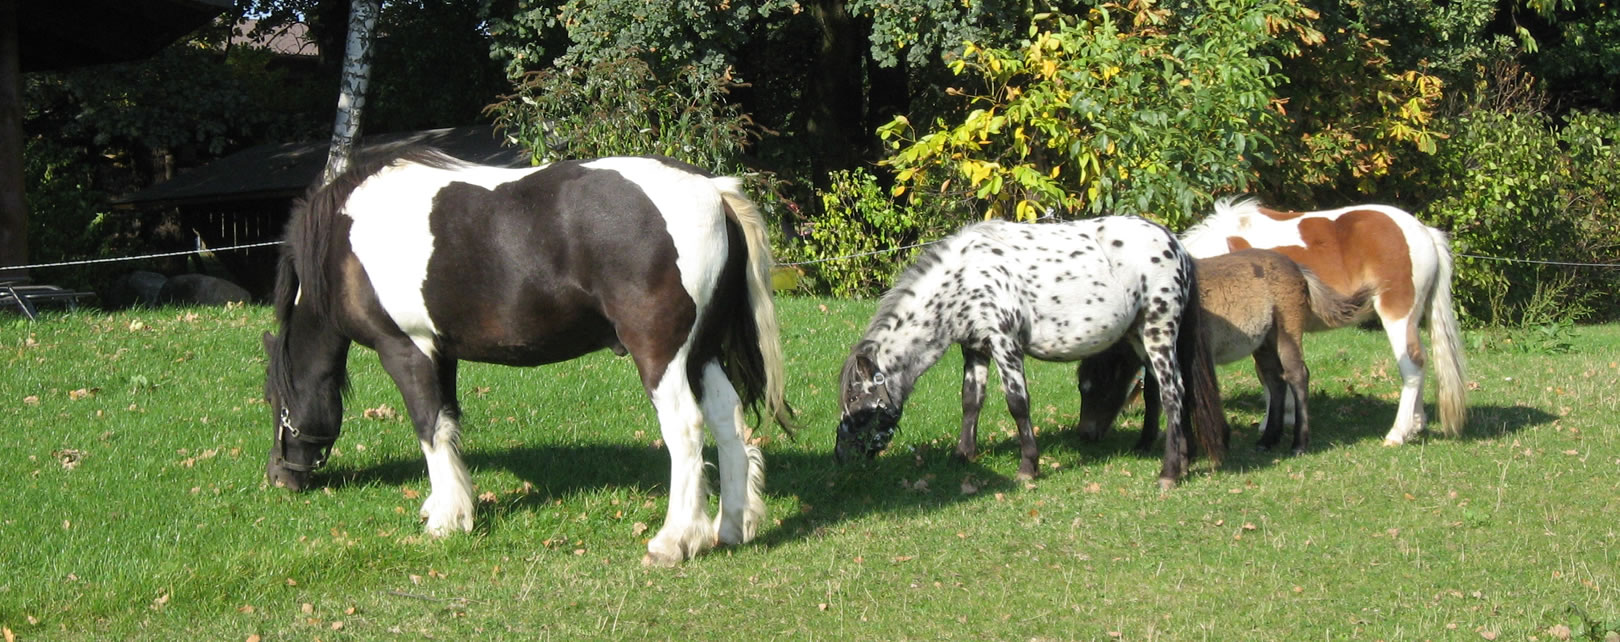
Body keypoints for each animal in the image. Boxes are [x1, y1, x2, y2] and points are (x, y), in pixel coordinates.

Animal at [262, 148, 793, 564]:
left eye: (273, 400)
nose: (279, 477)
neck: (345, 240)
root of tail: (713, 190)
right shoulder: (442, 354)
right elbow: (448, 424)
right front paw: (446, 505)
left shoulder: (406, 349)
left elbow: (429, 428)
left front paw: (445, 521)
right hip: (701, 354)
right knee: (727, 421)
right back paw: (732, 526)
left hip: (662, 356)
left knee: (685, 429)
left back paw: (675, 541)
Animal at [835, 215, 1224, 486]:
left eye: (856, 401)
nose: (841, 454)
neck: (963, 278)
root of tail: (1175, 245)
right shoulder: (975, 349)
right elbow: (971, 400)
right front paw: (963, 456)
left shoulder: (1005, 344)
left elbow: (1017, 404)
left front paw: (1028, 467)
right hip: (1137, 336)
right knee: (1157, 390)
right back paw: (1164, 453)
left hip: (1159, 332)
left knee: (1174, 392)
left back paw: (1170, 472)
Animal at [1075, 248, 1367, 453]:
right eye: (1081, 388)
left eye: (1102, 388)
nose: (1085, 434)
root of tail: (1298, 268)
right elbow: (1153, 395)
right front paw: (1144, 443)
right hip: (1264, 343)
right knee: (1275, 380)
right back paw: (1267, 441)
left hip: (1287, 332)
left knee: (1297, 376)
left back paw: (1299, 444)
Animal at [1179, 197, 1470, 444]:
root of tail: (1423, 232)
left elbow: (1269, 375)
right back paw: (1416, 424)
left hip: (1397, 315)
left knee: (1412, 364)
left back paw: (1397, 433)